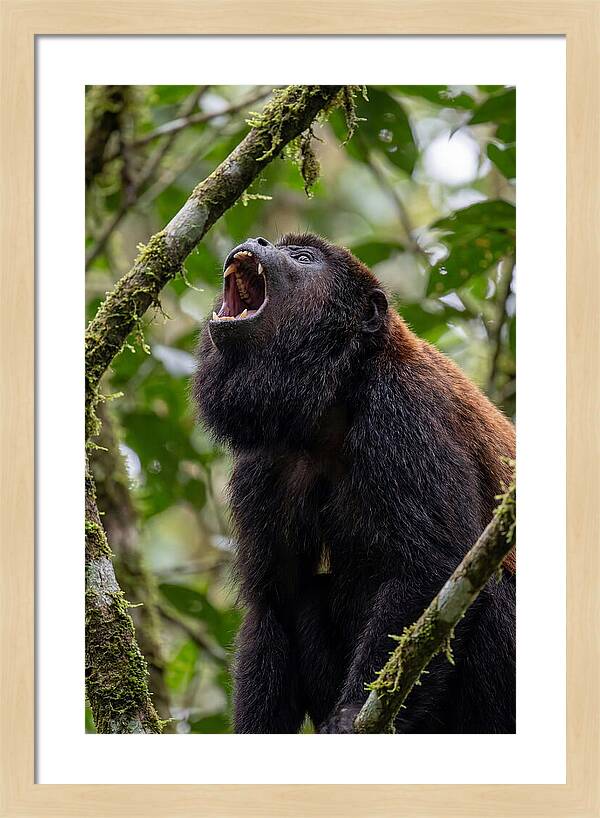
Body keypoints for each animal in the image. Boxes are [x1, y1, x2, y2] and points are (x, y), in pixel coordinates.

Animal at [193, 233, 516, 734]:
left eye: (303, 258)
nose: (258, 239)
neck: (337, 395)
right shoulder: (264, 461)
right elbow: (274, 602)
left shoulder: (402, 411)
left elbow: (433, 567)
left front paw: (348, 715)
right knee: (306, 596)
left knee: (493, 587)